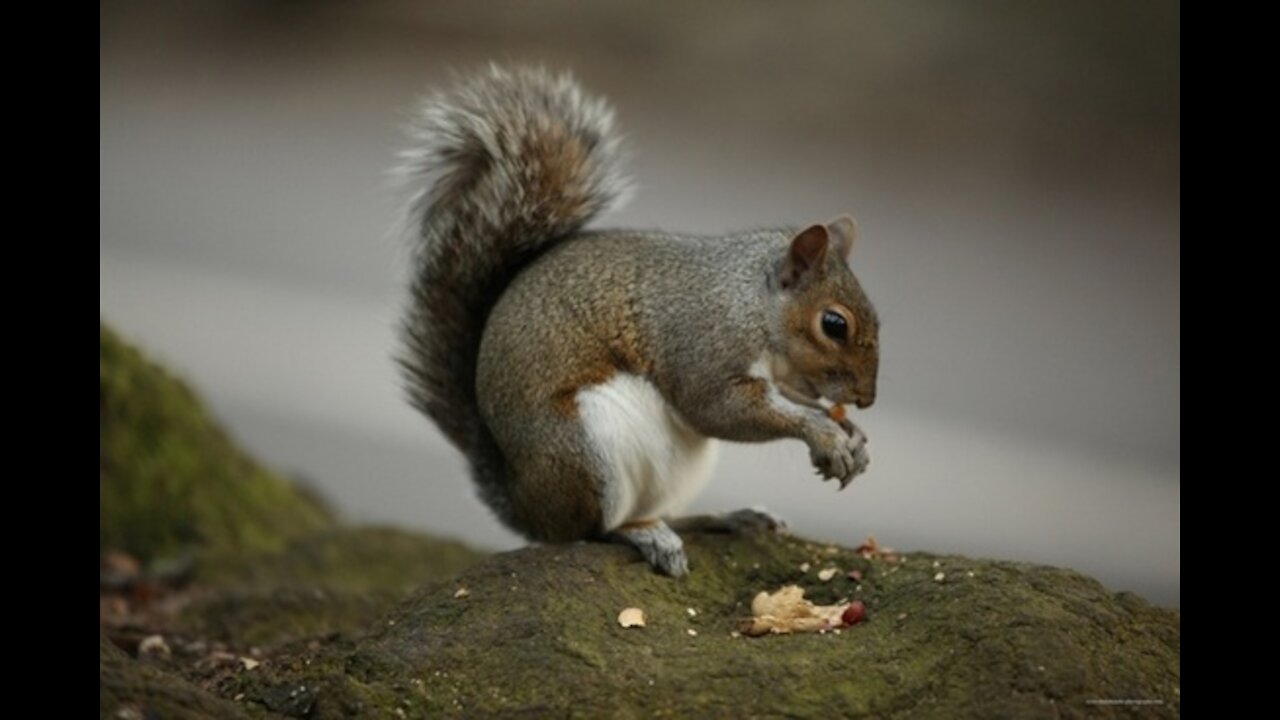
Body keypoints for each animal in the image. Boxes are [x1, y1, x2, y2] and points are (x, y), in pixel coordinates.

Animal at [399, 64, 880, 573]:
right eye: (834, 324)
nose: (866, 399)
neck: (748, 302)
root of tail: (525, 506)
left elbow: (789, 398)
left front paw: (851, 433)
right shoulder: (703, 344)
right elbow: (719, 409)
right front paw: (824, 433)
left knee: (663, 512)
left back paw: (727, 517)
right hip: (583, 453)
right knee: (591, 530)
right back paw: (642, 535)